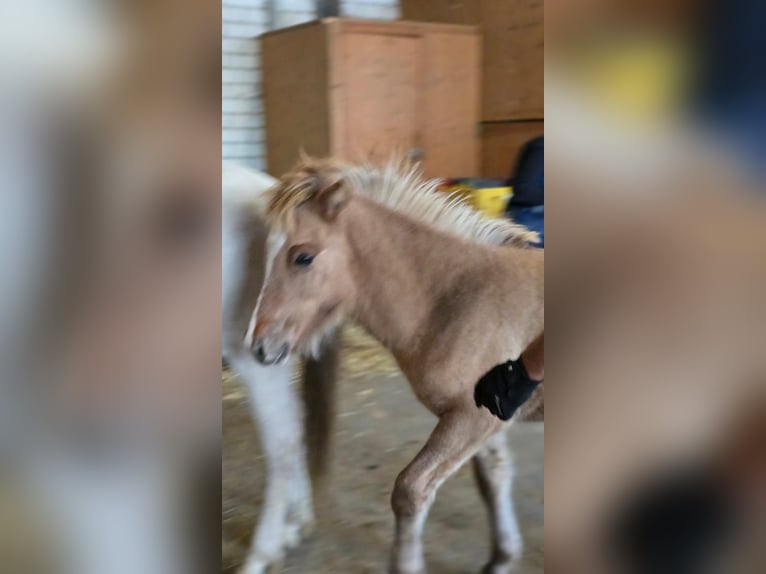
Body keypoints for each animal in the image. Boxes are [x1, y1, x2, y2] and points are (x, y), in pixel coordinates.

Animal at [247, 156, 544, 574]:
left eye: (303, 257)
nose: (260, 347)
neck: (457, 297)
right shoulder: (491, 414)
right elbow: (495, 477)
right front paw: (502, 558)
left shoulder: (472, 417)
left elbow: (411, 489)